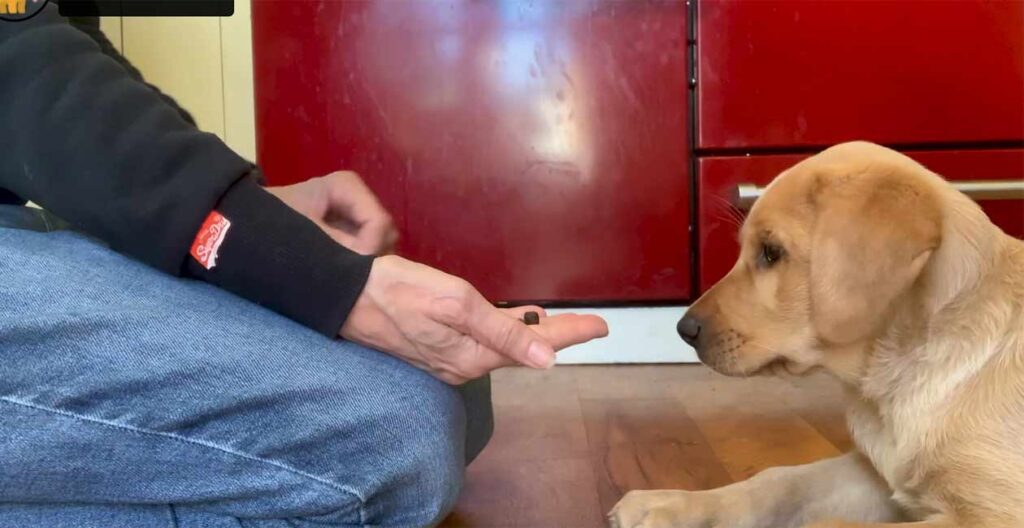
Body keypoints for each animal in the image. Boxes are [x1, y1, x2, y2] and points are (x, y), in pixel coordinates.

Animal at [606, 141, 1024, 528]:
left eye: (771, 252)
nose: (684, 330)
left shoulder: (995, 514)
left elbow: (828, 523)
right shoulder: (874, 473)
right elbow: (777, 480)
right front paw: (669, 504)